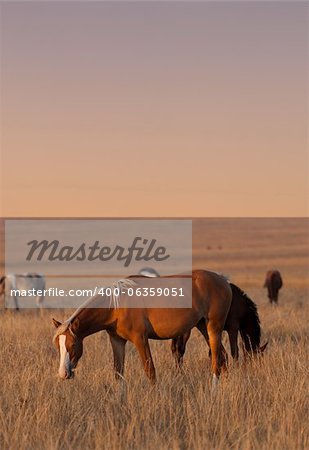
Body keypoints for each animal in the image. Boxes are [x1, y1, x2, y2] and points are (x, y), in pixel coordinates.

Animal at [53, 270, 231, 386]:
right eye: (57, 347)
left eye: (73, 345)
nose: (62, 374)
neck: (116, 306)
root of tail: (223, 280)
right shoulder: (117, 341)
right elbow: (118, 374)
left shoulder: (141, 340)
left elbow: (150, 371)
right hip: (203, 327)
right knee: (223, 357)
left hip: (213, 328)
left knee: (217, 362)